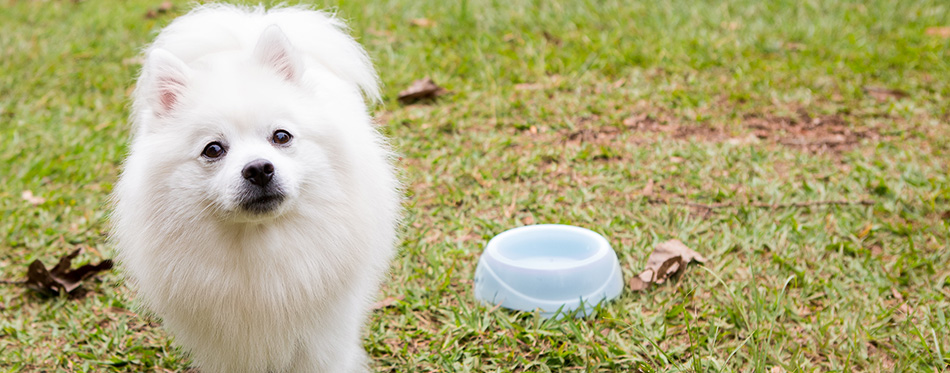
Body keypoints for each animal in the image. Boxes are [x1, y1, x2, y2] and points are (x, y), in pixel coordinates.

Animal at [112, 4, 402, 370]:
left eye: (281, 136)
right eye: (213, 149)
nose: (259, 169)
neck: (259, 246)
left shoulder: (323, 337)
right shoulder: (227, 346)